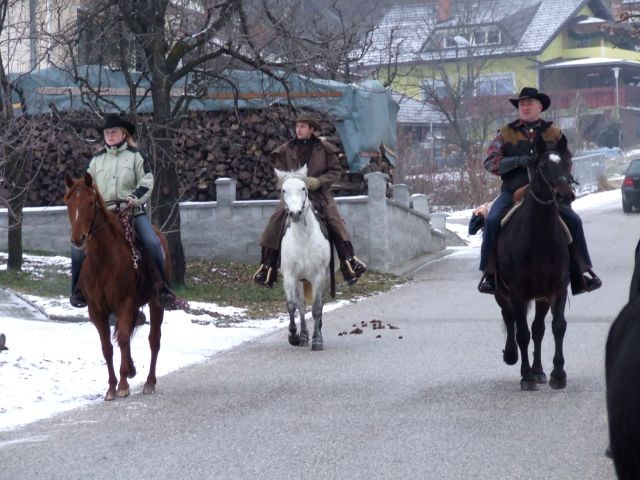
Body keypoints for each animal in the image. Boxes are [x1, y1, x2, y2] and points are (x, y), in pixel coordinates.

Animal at [63, 172, 170, 402]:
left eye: (91, 202)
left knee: (153, 340)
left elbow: (122, 340)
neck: (103, 260)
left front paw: (122, 385)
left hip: (156, 303)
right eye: (68, 202)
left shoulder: (125, 303)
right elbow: (107, 347)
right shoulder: (96, 310)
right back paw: (131, 369)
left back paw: (149, 382)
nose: (78, 239)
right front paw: (112, 387)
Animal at [276, 166, 332, 352]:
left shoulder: (319, 276)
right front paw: (293, 336)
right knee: (301, 306)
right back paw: (303, 337)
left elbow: (316, 309)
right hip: (300, 281)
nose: (295, 214)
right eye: (283, 190)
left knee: (320, 304)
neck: (303, 238)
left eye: (304, 189)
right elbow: (292, 306)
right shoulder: (290, 277)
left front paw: (317, 341)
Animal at [496, 135, 576, 390]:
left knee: (538, 329)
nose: (564, 195)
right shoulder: (517, 291)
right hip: (501, 292)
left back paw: (539, 370)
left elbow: (557, 327)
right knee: (509, 317)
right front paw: (526, 376)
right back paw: (513, 356)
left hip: (541, 297)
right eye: (542, 166)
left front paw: (557, 374)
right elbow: (521, 333)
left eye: (566, 163)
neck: (540, 239)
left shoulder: (558, 289)